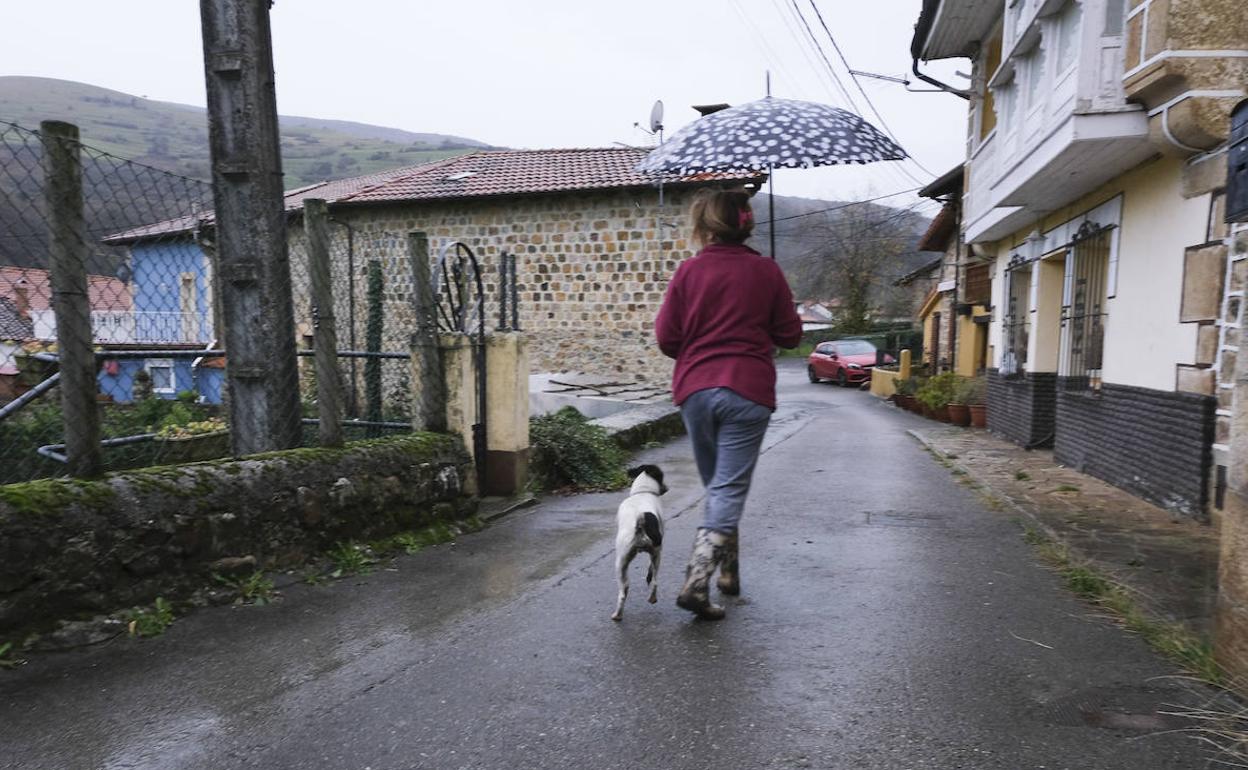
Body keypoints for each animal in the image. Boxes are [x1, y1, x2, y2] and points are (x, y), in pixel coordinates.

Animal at [611, 461, 668, 618]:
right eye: (661, 476)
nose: (667, 488)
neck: (642, 492)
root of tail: (640, 523)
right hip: (653, 555)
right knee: (651, 582)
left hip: (623, 561)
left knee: (626, 589)